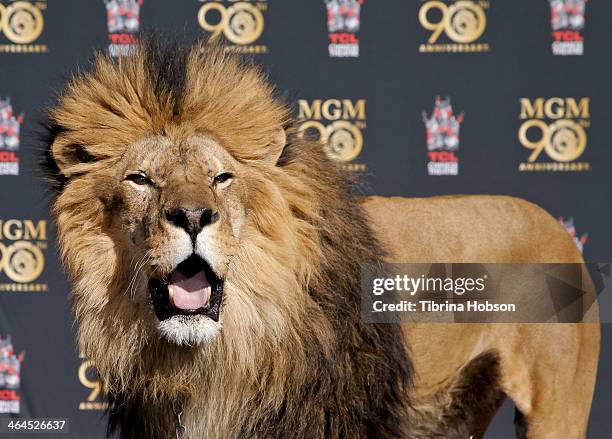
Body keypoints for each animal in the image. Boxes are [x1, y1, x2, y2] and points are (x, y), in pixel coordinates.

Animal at [43, 39, 596, 438]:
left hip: (557, 408)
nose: (194, 215)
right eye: (140, 179)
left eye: (221, 178)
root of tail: (557, 226)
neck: (217, 358)